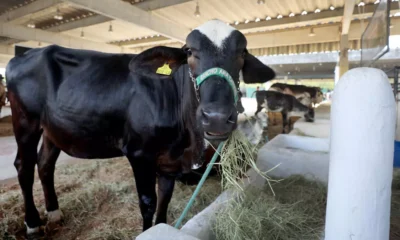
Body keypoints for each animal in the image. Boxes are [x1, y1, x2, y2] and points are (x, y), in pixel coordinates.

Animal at [6, 19, 276, 238]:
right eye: (189, 51)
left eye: (242, 52)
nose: (217, 117)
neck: (185, 140)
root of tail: (23, 55)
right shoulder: (139, 153)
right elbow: (148, 202)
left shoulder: (169, 162)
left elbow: (164, 199)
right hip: (25, 122)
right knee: (24, 167)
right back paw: (32, 223)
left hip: (54, 129)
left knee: (45, 164)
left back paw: (54, 212)